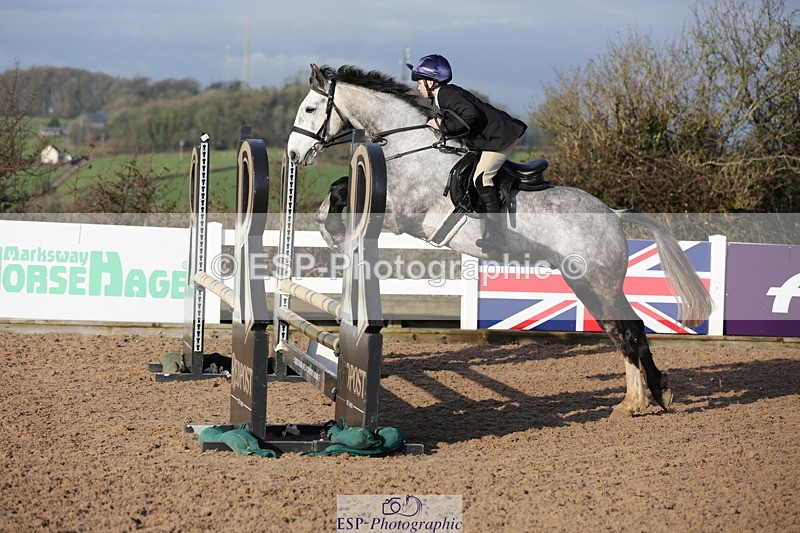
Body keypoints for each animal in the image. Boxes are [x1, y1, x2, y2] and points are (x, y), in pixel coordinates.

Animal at [287, 64, 713, 417]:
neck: (409, 148)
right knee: (623, 332)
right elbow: (338, 187)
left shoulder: (402, 212)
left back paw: (646, 398)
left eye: (309, 109)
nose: (292, 154)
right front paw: (329, 229)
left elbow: (343, 192)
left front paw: (333, 234)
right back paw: (640, 399)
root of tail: (615, 216)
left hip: (597, 283)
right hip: (588, 284)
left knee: (629, 331)